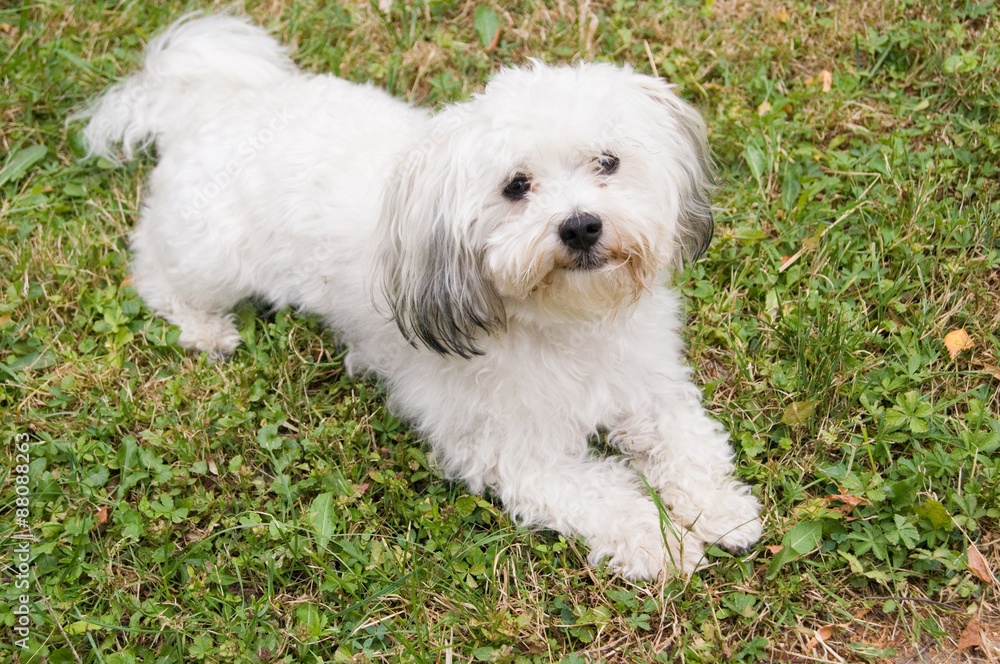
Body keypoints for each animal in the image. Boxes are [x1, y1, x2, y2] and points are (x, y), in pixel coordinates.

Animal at [82, 13, 760, 580]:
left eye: (608, 161)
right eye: (516, 187)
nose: (581, 226)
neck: (568, 322)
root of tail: (207, 105)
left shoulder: (649, 385)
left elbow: (690, 443)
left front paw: (721, 509)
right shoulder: (516, 453)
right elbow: (605, 494)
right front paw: (660, 541)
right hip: (211, 254)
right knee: (153, 269)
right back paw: (207, 330)